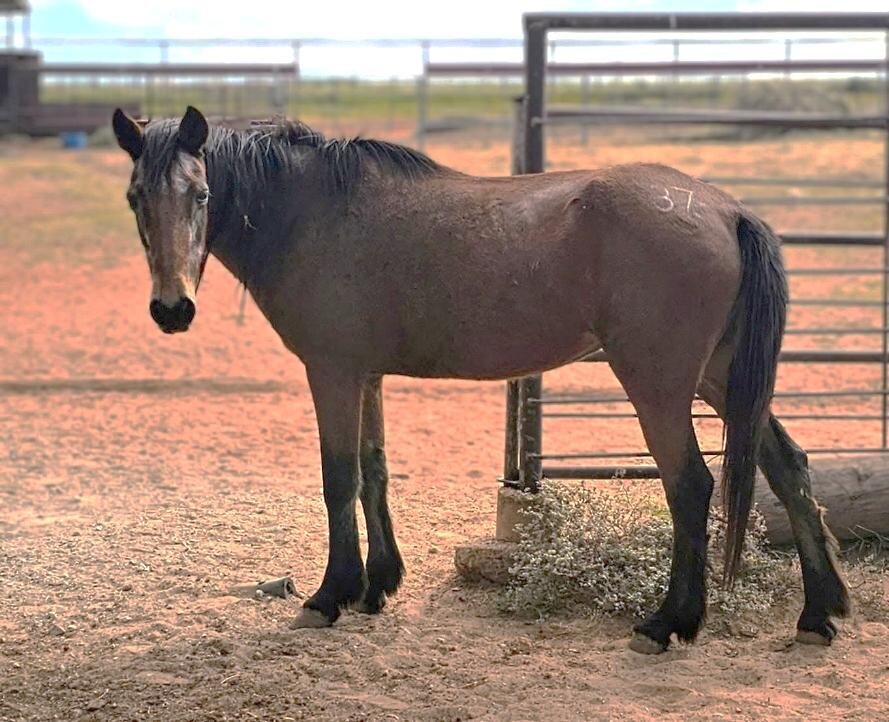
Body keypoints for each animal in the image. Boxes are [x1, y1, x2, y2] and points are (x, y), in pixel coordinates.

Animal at [112, 105, 850, 654]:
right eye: (134, 197)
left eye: (202, 193)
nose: (172, 309)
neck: (314, 213)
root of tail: (725, 209)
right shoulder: (365, 375)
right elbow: (375, 470)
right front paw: (378, 586)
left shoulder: (333, 371)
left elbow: (338, 477)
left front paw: (329, 596)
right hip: (721, 378)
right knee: (787, 466)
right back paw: (819, 614)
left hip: (661, 384)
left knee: (691, 486)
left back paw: (668, 623)